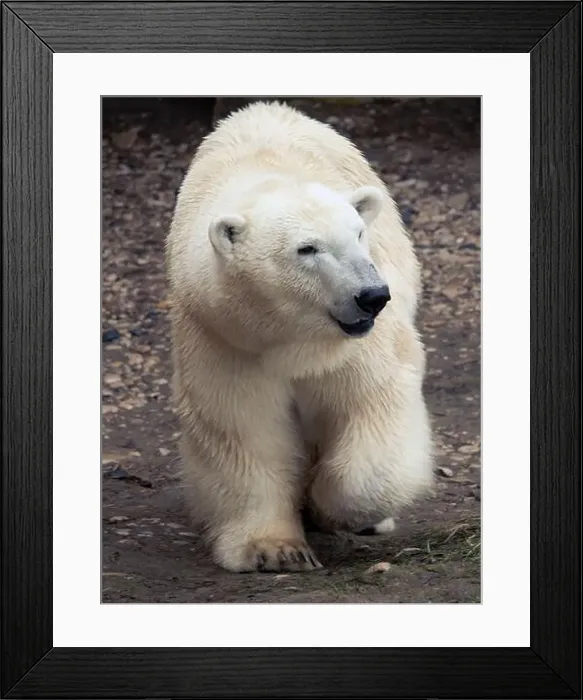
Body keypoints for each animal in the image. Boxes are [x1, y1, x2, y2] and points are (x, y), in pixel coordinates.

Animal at [165, 101, 434, 573]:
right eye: (307, 249)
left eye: (358, 233)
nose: (371, 296)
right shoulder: (224, 337)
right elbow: (243, 427)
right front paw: (275, 550)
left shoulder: (355, 347)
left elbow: (372, 402)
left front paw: (330, 507)